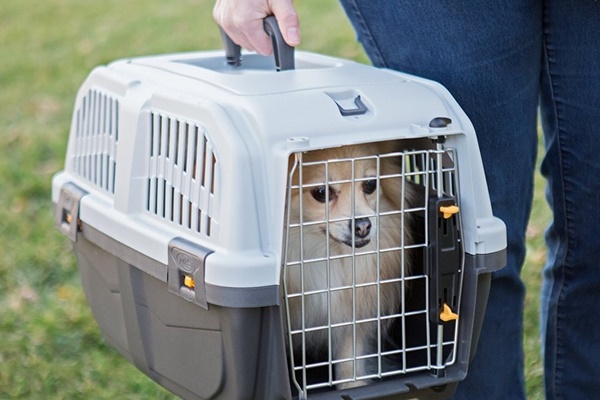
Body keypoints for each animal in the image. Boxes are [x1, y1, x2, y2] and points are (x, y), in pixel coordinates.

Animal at [282, 141, 420, 388]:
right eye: (321, 193)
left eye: (370, 184)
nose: (363, 225)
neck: (327, 255)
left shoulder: (349, 309)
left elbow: (349, 358)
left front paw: (352, 385)